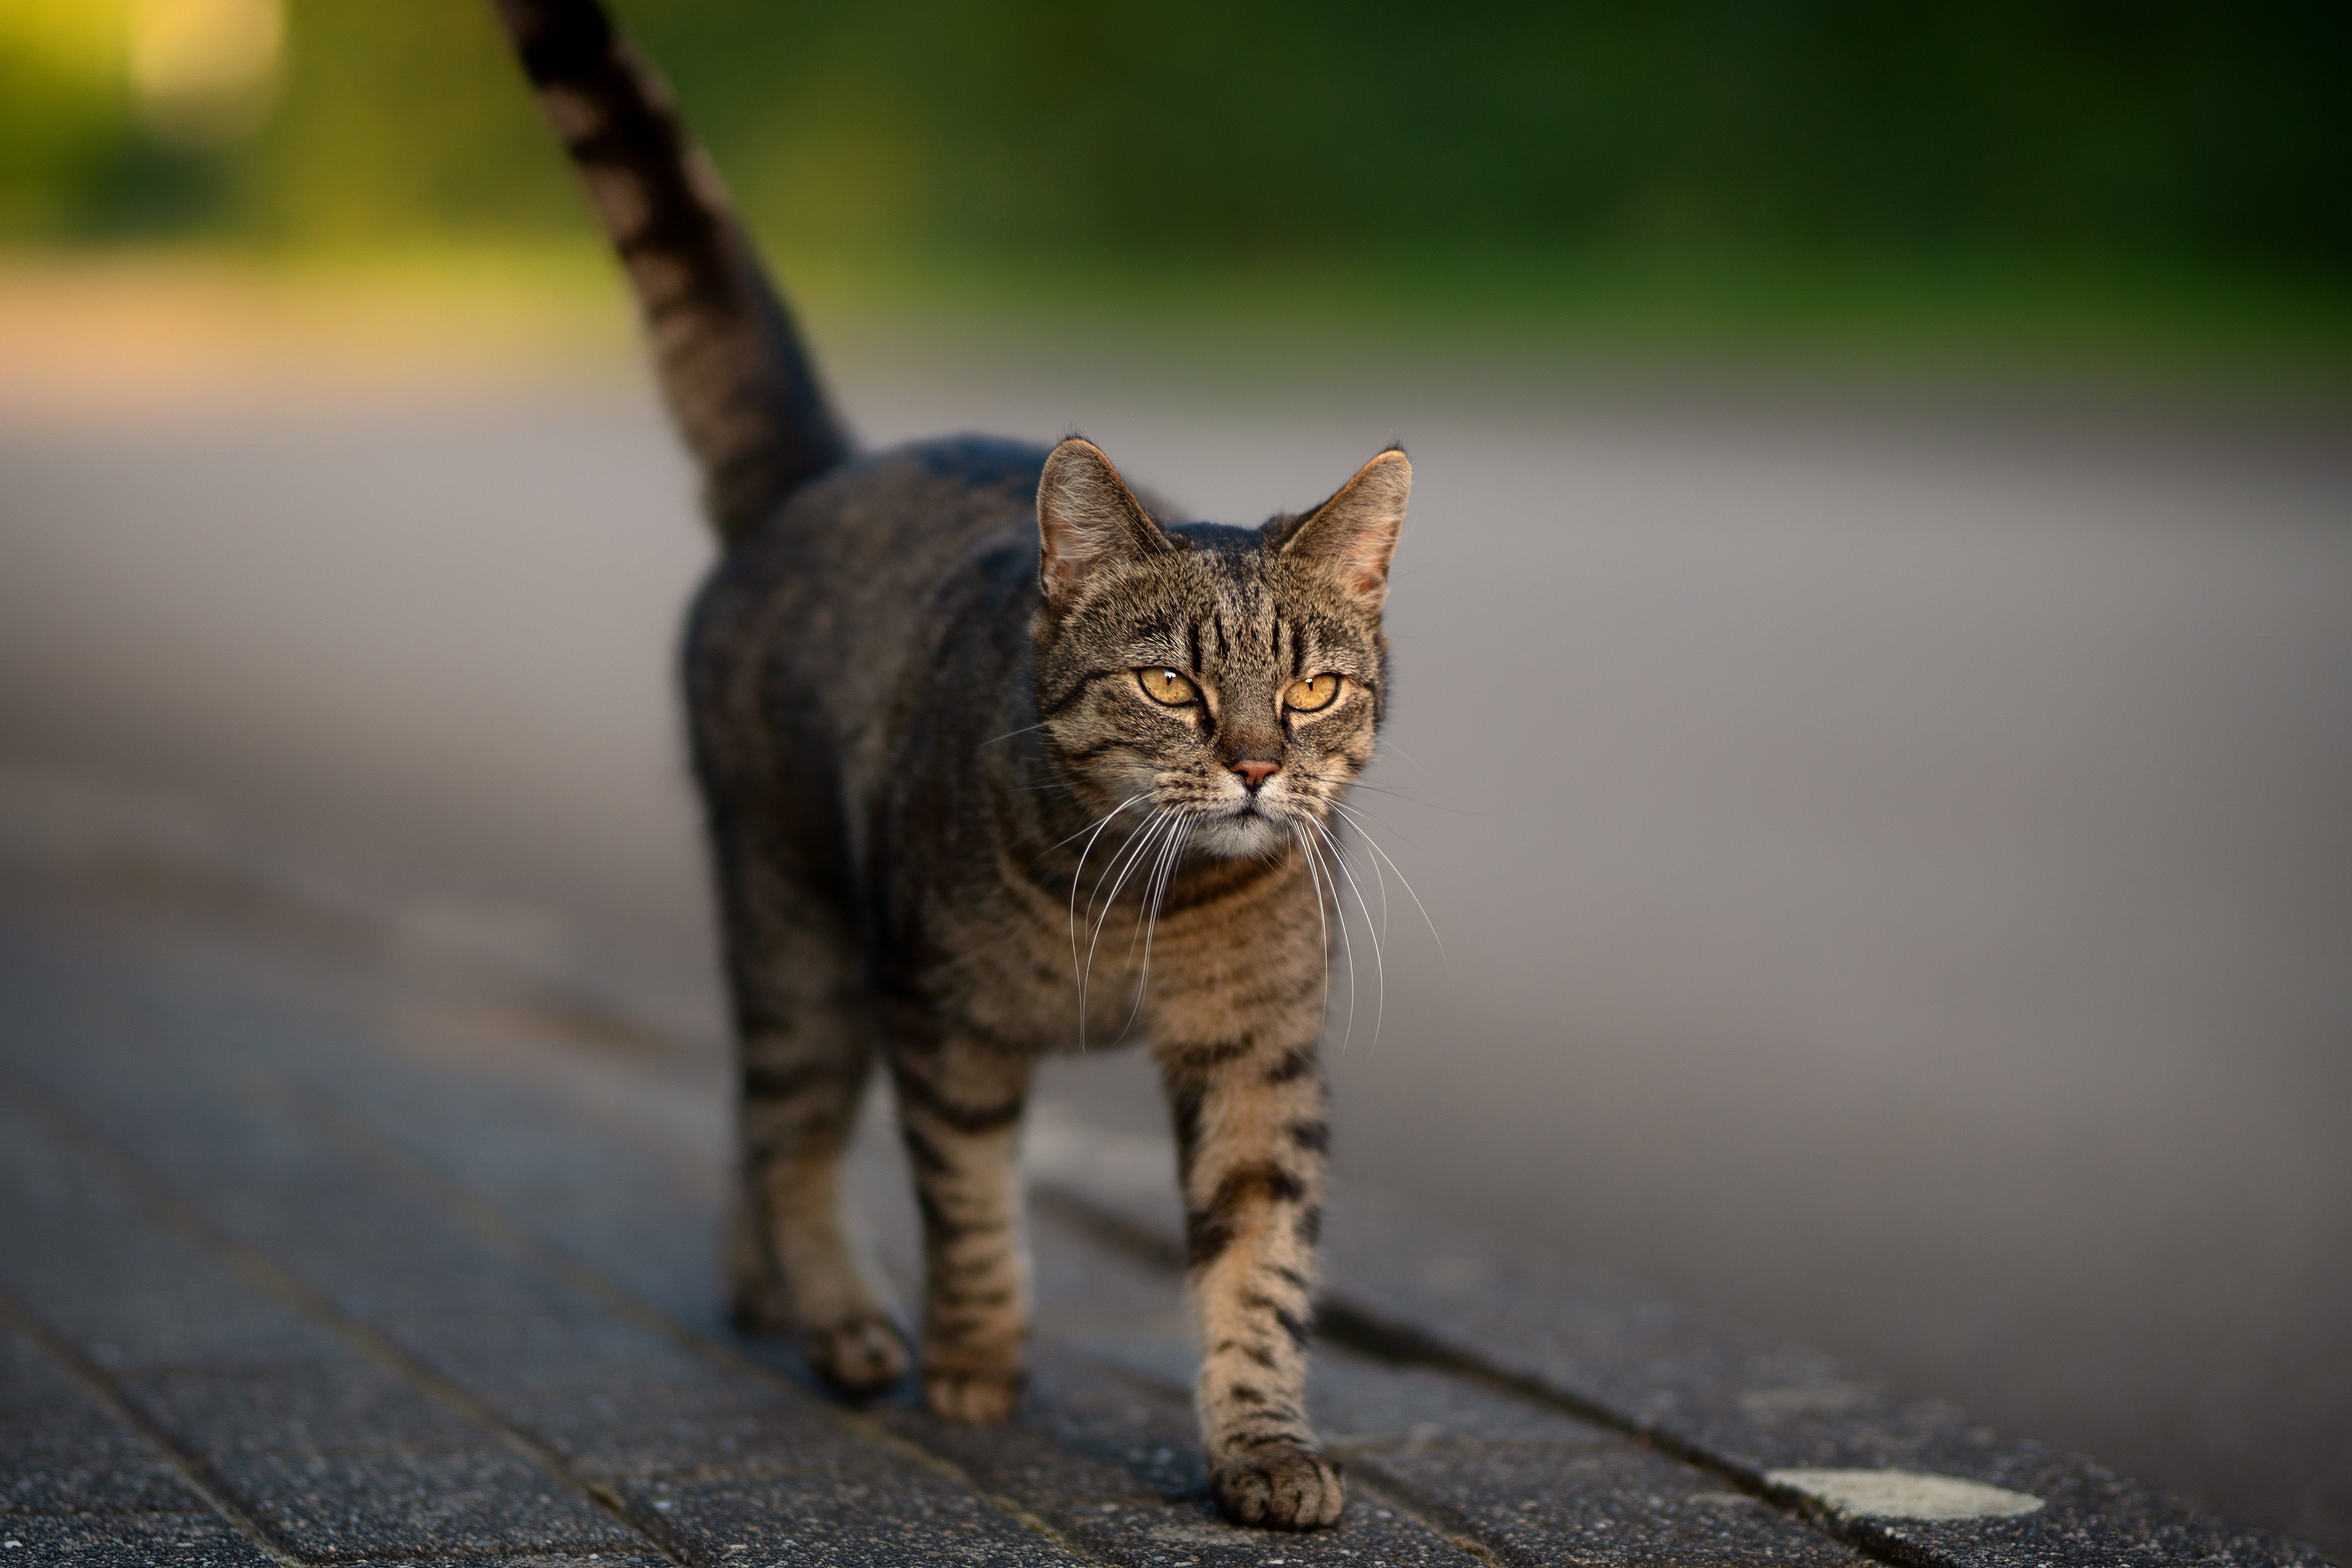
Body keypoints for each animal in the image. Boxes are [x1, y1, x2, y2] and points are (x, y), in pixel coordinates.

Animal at [489, 0, 1401, 1523]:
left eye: (1313, 688)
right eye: (1172, 685)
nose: (1260, 766)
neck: (1143, 911)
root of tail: (818, 475)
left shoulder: (1257, 1053)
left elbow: (1259, 1260)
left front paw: (1264, 1443)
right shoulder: (943, 1017)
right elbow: (969, 1204)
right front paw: (976, 1363)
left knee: (753, 1126)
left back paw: (764, 1290)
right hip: (800, 932)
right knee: (786, 1126)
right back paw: (842, 1319)